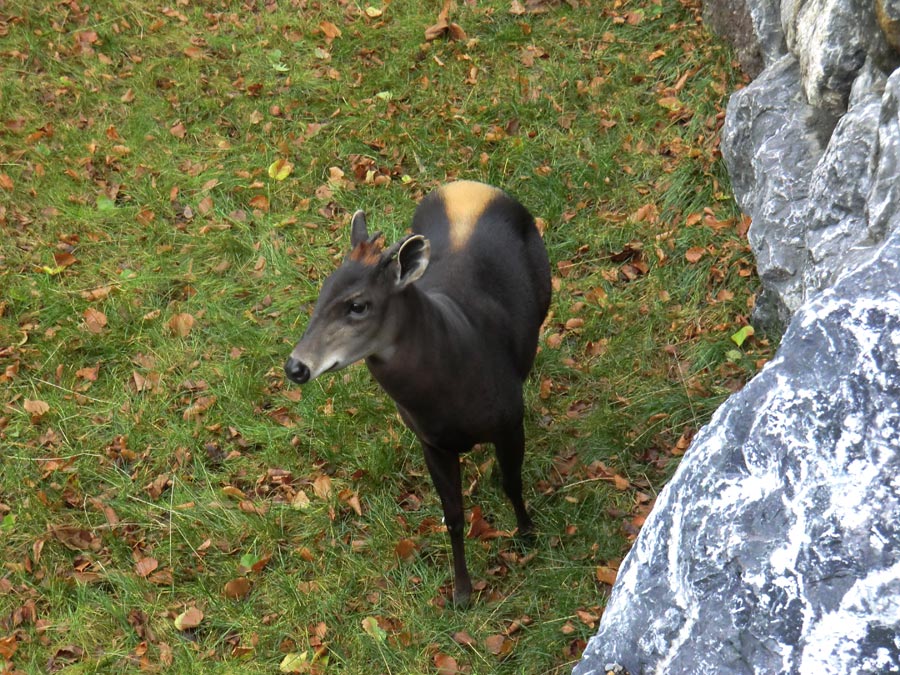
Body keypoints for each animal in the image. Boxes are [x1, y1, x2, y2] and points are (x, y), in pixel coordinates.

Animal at [284, 181, 548, 608]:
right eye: (322, 292)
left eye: (358, 305)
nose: (296, 367)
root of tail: (468, 185)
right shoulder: (431, 441)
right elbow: (452, 516)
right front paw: (461, 592)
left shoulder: (509, 419)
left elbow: (513, 482)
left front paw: (527, 534)